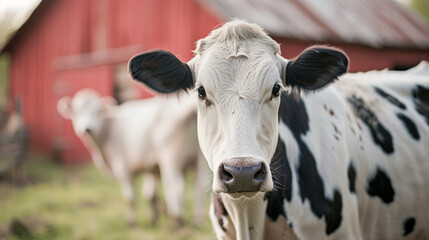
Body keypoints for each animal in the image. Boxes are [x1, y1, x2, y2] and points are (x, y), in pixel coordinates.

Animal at [57, 89, 204, 227]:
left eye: (97, 111)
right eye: (76, 111)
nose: (88, 128)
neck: (110, 129)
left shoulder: (124, 168)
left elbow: (130, 197)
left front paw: (132, 223)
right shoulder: (152, 168)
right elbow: (151, 195)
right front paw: (153, 220)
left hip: (170, 159)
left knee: (176, 186)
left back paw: (177, 221)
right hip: (201, 159)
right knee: (199, 188)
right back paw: (197, 221)